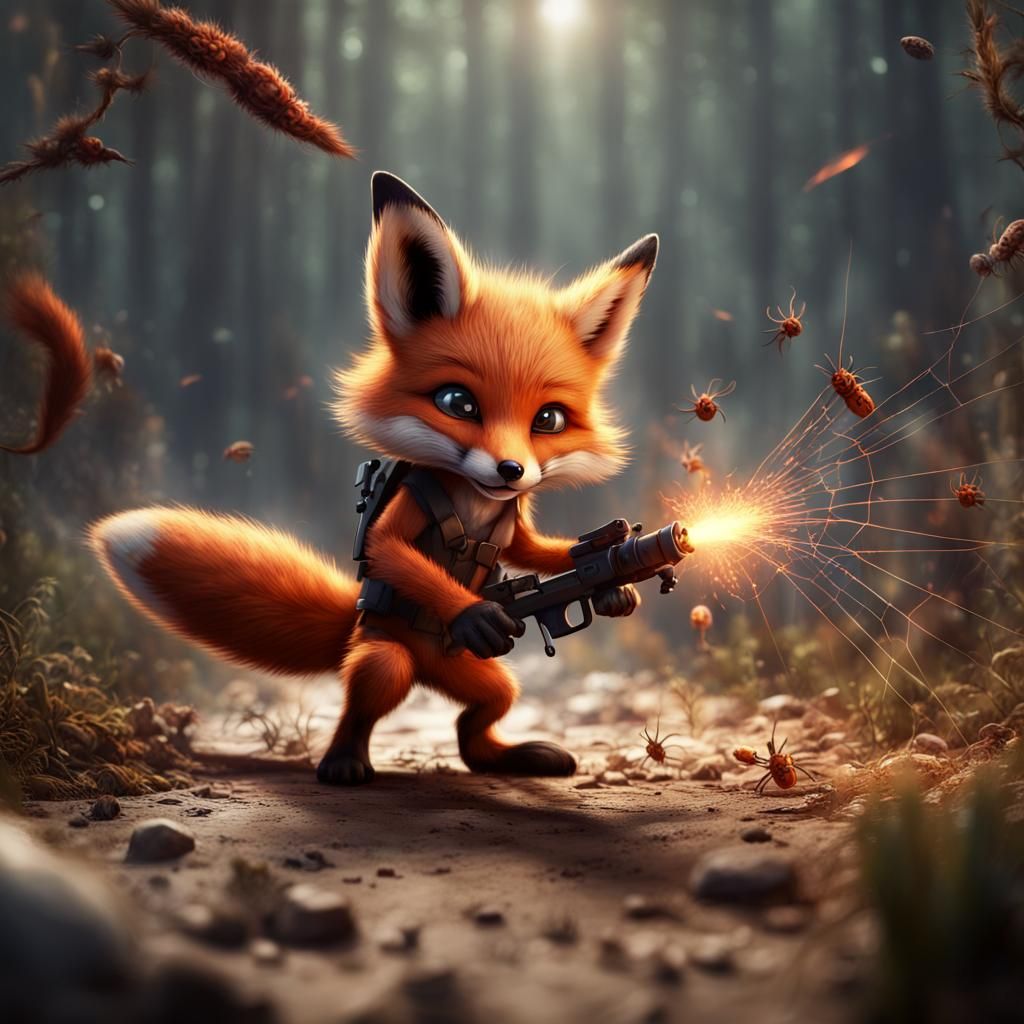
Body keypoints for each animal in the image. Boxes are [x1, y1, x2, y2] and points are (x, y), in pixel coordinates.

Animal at [89, 171, 659, 785]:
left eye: (548, 420)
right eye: (457, 402)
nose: (511, 471)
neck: (476, 502)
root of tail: (419, 659)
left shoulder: (515, 519)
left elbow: (531, 549)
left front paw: (617, 587)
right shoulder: (416, 497)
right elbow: (388, 544)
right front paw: (476, 612)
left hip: (480, 675)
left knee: (480, 718)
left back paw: (514, 756)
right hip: (386, 655)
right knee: (366, 698)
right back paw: (343, 762)